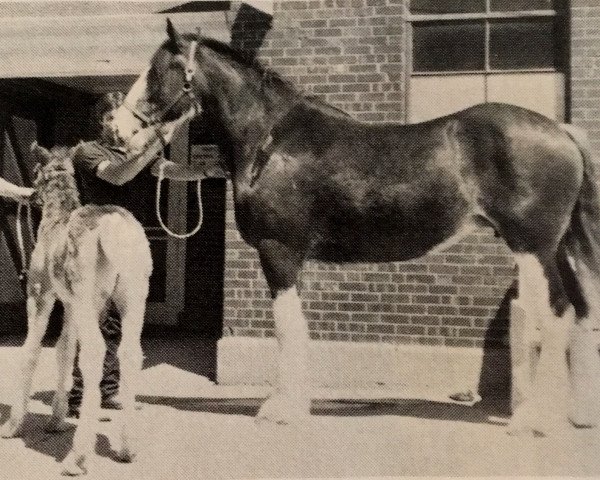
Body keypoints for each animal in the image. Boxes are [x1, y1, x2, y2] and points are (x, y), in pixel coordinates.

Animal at [111, 19, 600, 436]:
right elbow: (298, 327)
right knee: (576, 312)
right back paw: (572, 415)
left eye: (159, 70)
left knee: (555, 314)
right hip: (556, 250)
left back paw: (532, 420)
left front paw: (280, 410)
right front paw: (295, 405)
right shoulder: (293, 258)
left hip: (533, 248)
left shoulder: (278, 251)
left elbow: (287, 329)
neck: (270, 139)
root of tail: (561, 130)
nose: (116, 129)